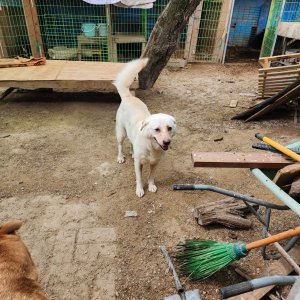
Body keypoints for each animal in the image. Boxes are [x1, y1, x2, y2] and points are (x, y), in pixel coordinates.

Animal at [114, 59, 176, 199]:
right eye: (157, 129)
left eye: (169, 128)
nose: (167, 142)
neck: (150, 146)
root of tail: (128, 97)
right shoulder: (138, 164)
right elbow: (139, 178)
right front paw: (140, 190)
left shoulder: (155, 163)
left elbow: (151, 176)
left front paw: (151, 186)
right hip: (121, 133)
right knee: (120, 145)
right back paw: (120, 157)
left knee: (131, 142)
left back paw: (132, 153)